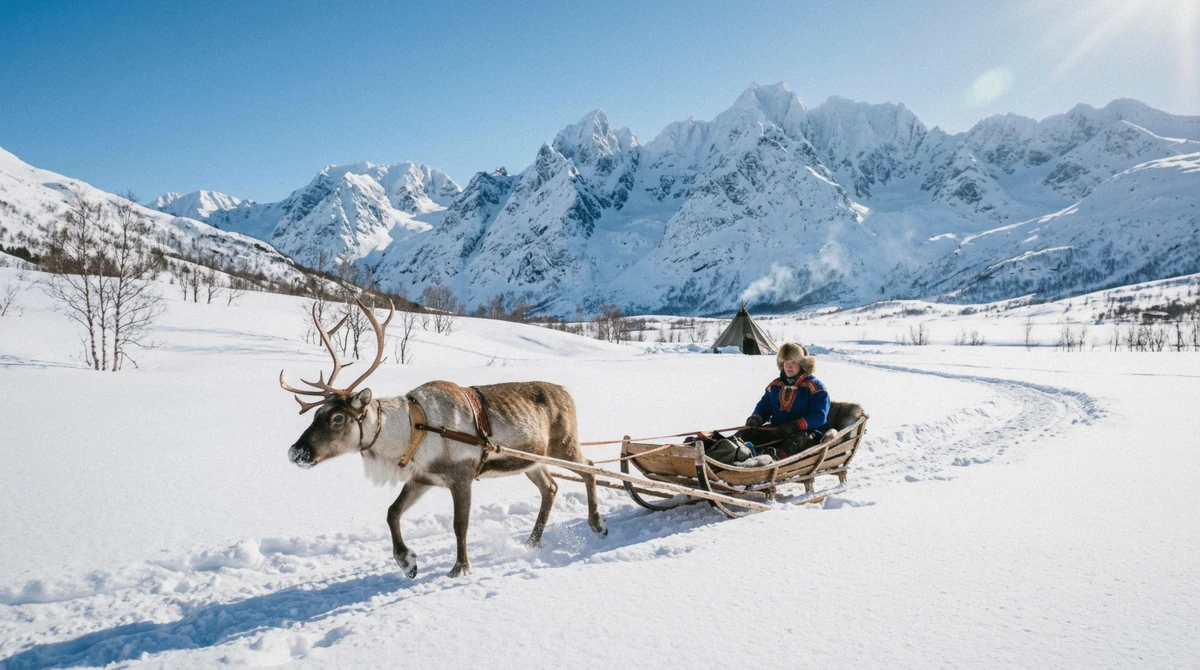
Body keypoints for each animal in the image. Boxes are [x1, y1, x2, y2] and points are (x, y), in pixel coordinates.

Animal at [280, 299, 606, 578]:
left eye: (337, 418)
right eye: (316, 413)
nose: (296, 452)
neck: (414, 431)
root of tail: (567, 391)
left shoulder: (461, 477)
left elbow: (459, 525)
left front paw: (460, 567)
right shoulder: (422, 478)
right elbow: (392, 513)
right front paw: (407, 562)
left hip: (563, 445)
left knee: (590, 468)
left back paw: (597, 523)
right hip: (531, 461)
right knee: (551, 487)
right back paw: (532, 540)